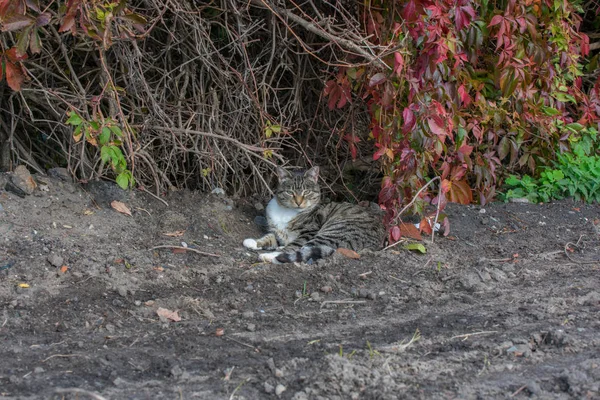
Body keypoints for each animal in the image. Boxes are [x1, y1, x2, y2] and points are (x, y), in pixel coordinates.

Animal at [243, 164, 384, 264]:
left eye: (306, 192)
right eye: (290, 192)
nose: (298, 202)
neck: (287, 211)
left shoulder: (308, 231)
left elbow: (293, 245)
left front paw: (272, 251)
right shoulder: (278, 233)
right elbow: (270, 237)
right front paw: (253, 242)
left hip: (333, 231)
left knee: (304, 249)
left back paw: (269, 256)